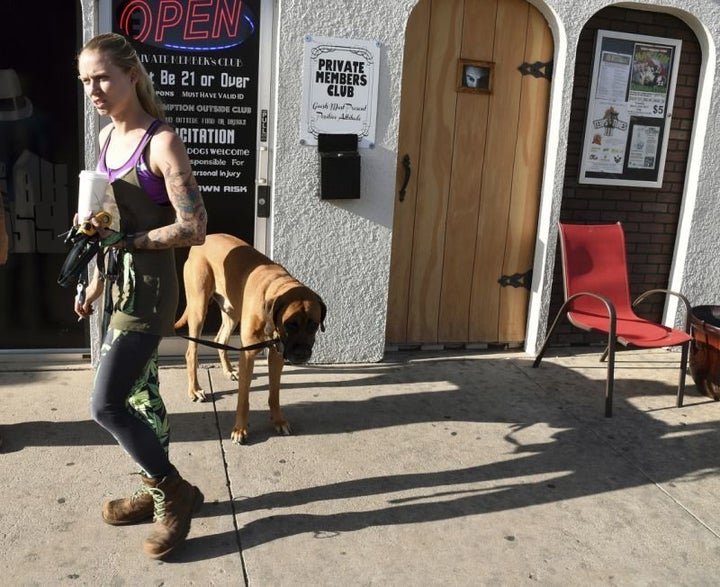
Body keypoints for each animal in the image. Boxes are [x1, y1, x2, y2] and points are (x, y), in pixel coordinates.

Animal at [176, 232, 328, 444]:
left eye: (313, 324)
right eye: (291, 324)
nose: (302, 355)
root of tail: (206, 237)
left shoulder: (276, 354)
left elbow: (275, 393)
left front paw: (278, 420)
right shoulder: (248, 355)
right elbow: (243, 399)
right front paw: (240, 429)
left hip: (231, 311)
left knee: (221, 340)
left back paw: (229, 371)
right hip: (198, 307)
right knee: (192, 352)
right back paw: (195, 389)